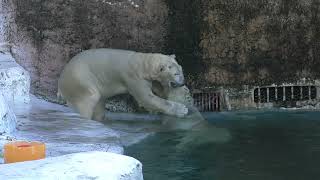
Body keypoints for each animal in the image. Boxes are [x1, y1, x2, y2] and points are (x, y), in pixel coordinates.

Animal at [58, 47, 188, 121]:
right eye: (176, 73)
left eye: (181, 69)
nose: (183, 83)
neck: (142, 63)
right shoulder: (133, 77)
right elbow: (147, 98)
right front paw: (182, 109)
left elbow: (155, 88)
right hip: (80, 81)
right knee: (88, 100)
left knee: (99, 106)